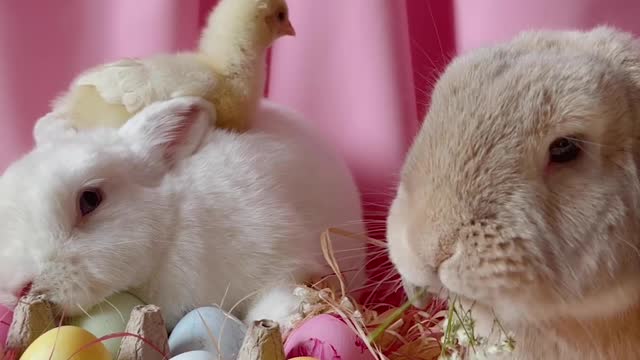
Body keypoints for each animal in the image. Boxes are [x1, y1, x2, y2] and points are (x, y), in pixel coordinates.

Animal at [0, 95, 364, 330]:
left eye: (90, 199)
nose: (18, 289)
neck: (173, 228)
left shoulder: (284, 260)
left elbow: (279, 293)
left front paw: (284, 319)